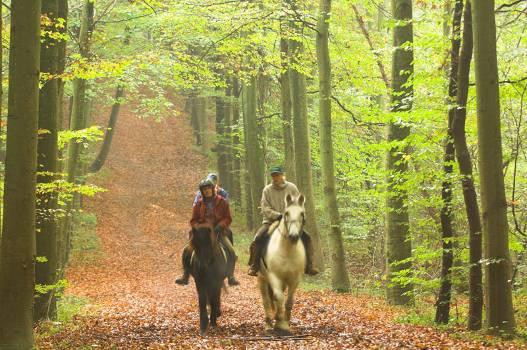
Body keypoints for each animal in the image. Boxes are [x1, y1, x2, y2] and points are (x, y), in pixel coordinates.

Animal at [258, 194, 308, 334]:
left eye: (302, 213)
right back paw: (268, 325)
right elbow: (279, 297)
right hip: (262, 279)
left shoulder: (295, 279)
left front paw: (285, 323)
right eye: (286, 213)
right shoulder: (274, 276)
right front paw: (280, 323)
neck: (287, 251)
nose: (293, 236)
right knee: (266, 301)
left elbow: (289, 301)